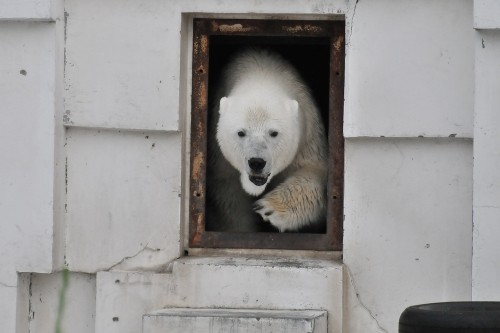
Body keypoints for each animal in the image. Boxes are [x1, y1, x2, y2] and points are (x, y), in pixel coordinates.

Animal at [205, 48, 326, 231]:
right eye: (241, 133)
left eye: (274, 133)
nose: (256, 162)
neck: (261, 72)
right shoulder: (219, 156)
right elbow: (229, 198)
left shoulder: (308, 133)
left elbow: (315, 172)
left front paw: (269, 208)